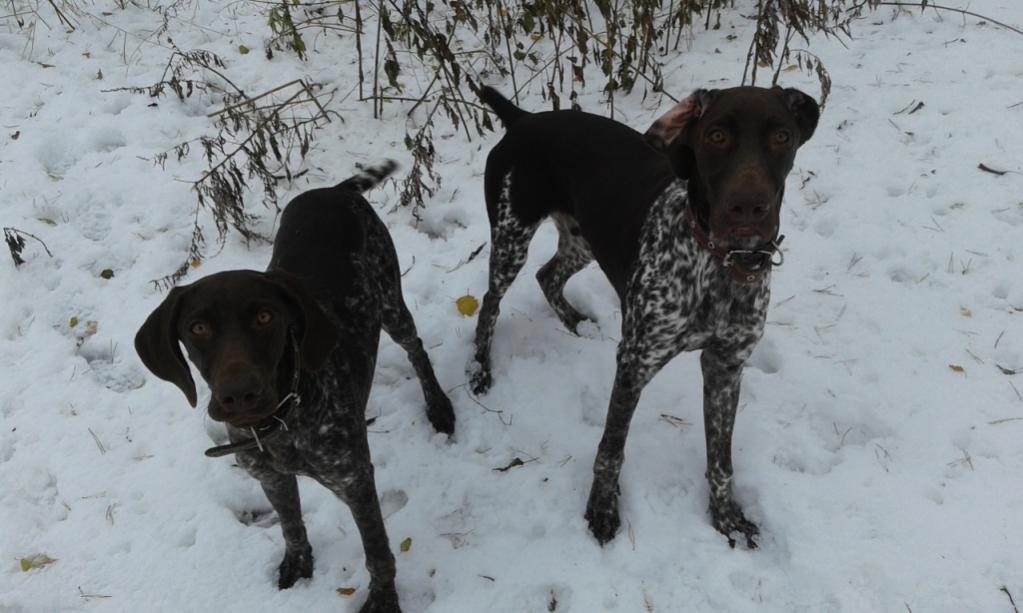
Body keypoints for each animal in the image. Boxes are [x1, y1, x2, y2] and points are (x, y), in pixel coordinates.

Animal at [135, 161, 454, 612]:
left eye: (265, 317)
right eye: (197, 328)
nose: (239, 395)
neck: (281, 423)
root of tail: (337, 190)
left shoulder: (355, 479)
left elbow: (377, 552)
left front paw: (383, 600)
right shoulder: (271, 478)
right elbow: (291, 525)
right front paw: (299, 564)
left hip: (391, 302)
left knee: (417, 349)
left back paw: (439, 407)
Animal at [470, 86, 819, 548]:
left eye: (782, 136)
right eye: (716, 135)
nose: (748, 208)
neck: (717, 265)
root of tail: (522, 117)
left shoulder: (725, 367)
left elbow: (721, 458)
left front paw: (726, 516)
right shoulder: (636, 360)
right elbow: (611, 448)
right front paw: (601, 510)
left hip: (583, 239)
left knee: (548, 276)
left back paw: (576, 322)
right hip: (512, 236)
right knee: (489, 305)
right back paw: (481, 369)